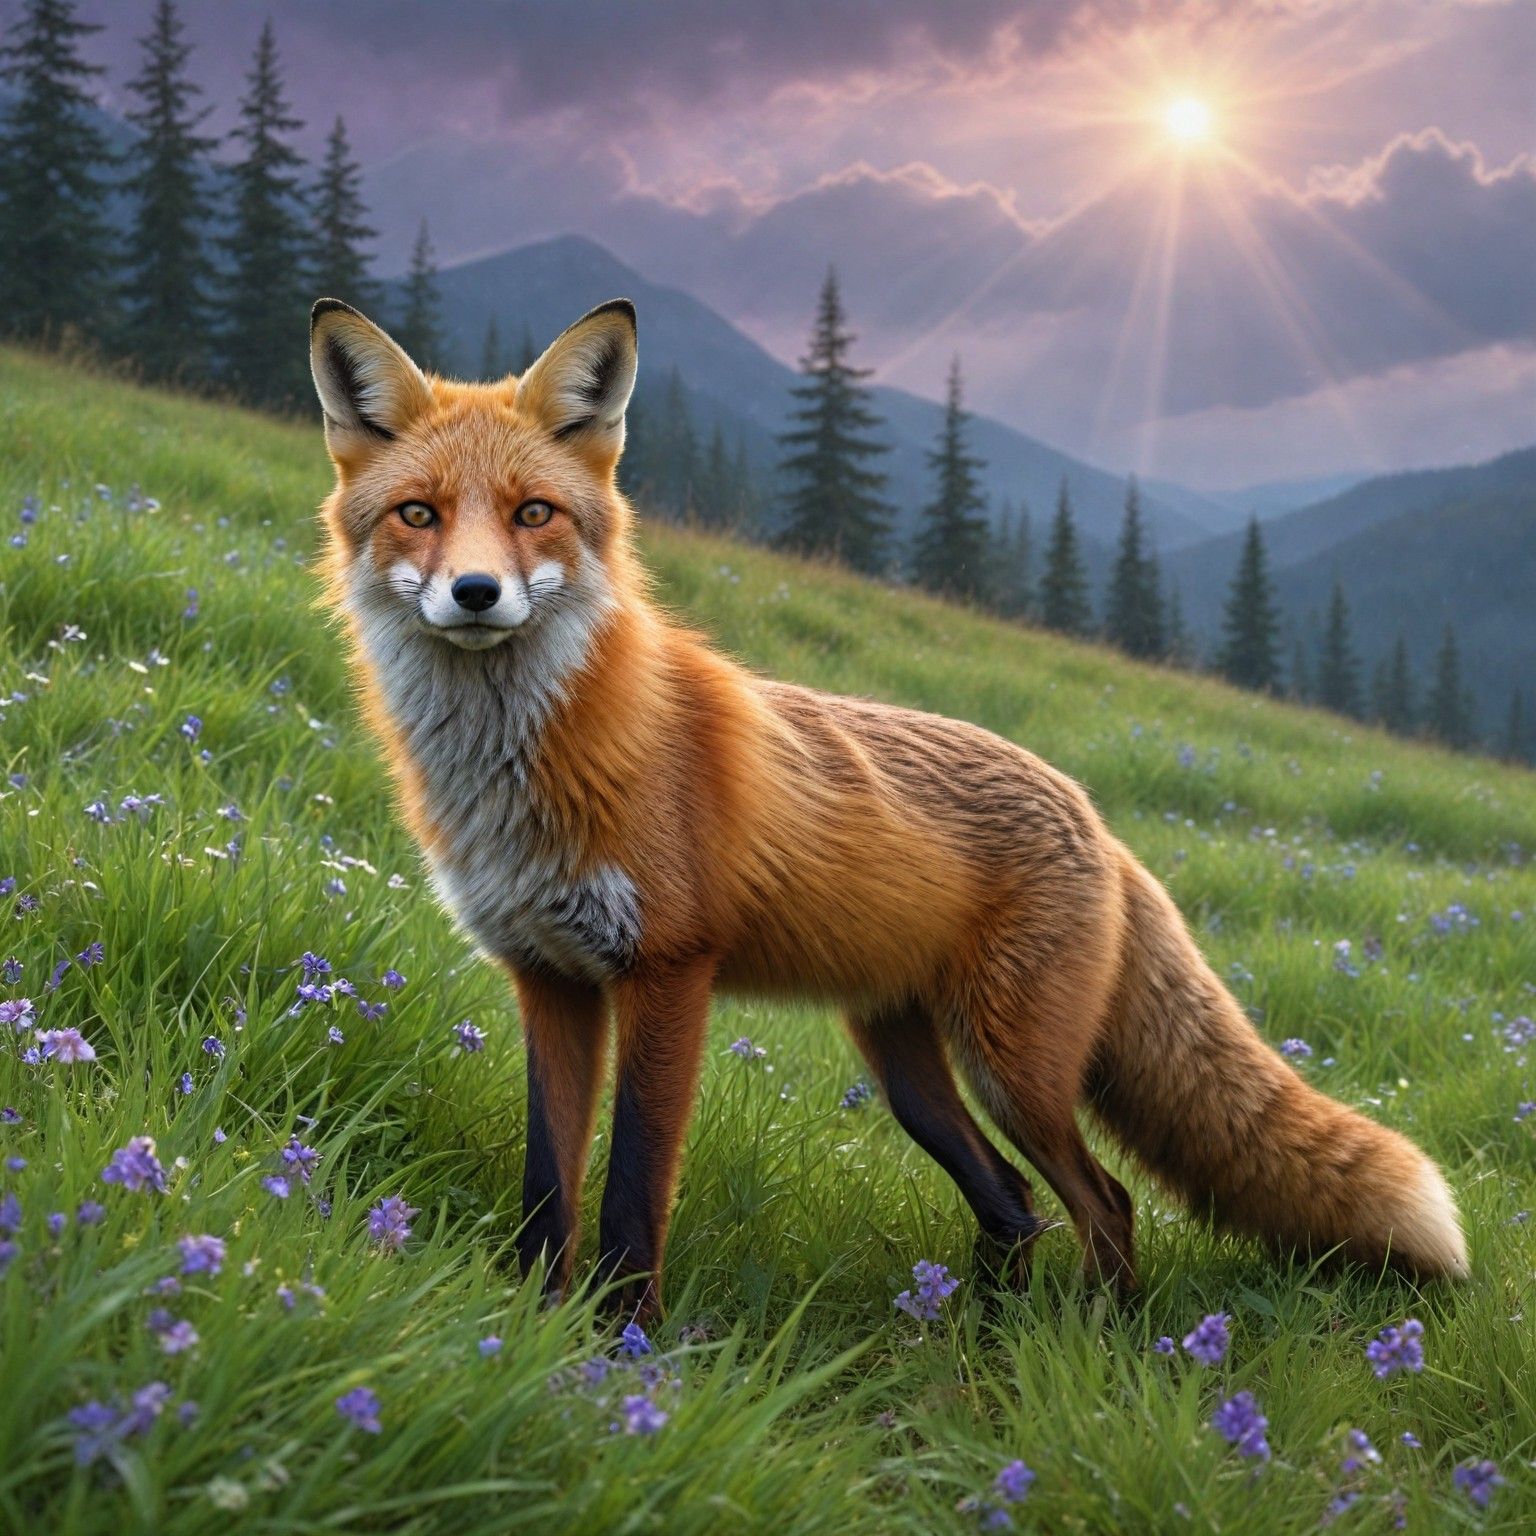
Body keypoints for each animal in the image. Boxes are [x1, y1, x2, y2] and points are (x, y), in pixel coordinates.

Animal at [308, 295, 1469, 1322]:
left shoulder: (668, 974)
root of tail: (1098, 818)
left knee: (1104, 1201)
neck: (529, 768)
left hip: (1015, 1071)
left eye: (533, 514)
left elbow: (634, 1194)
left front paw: (620, 1350)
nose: (474, 594)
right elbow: (548, 1189)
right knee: (1015, 1204)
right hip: (908, 1066)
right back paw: (979, 1340)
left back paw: (1101, 1348)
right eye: (419, 514)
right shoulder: (549, 980)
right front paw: (533, 1331)